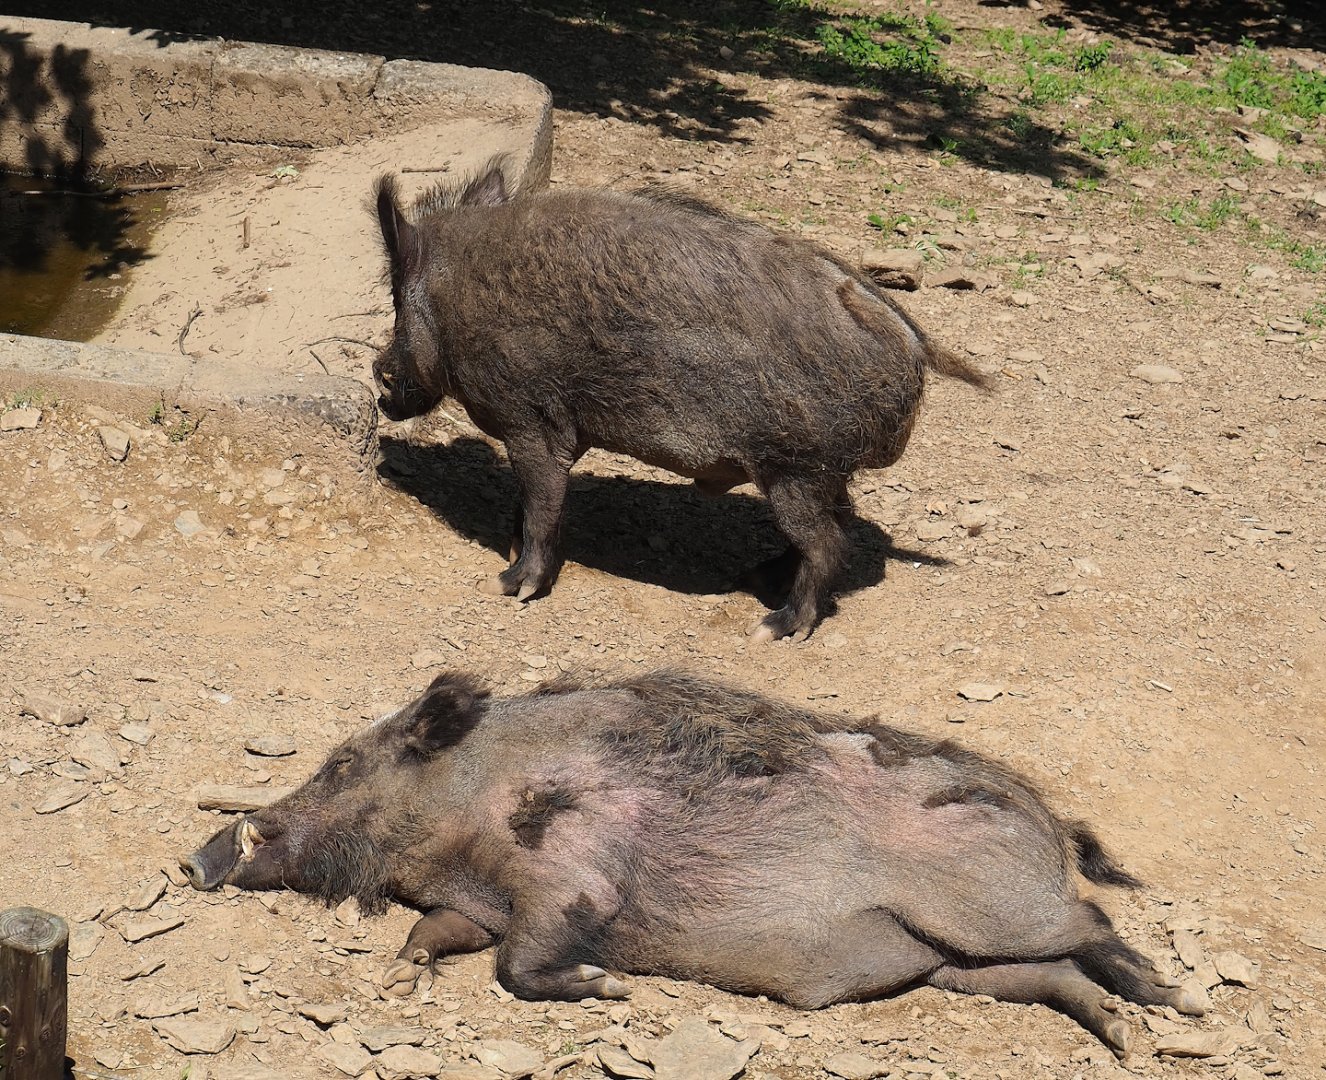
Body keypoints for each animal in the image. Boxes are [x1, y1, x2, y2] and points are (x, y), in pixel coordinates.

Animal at [183, 670, 1202, 1056]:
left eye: (341, 766)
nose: (199, 858)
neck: (470, 811)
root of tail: (1048, 815)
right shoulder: (474, 904)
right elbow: (442, 935)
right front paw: (401, 978)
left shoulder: (574, 879)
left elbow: (523, 965)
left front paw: (610, 990)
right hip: (956, 966)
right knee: (1055, 976)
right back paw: (1122, 1037)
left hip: (994, 907)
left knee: (1094, 922)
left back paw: (1174, 1001)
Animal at [370, 161, 992, 641]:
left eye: (398, 298)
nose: (379, 374)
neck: (456, 301)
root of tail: (912, 341)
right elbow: (527, 504)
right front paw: (508, 552)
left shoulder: (531, 418)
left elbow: (542, 499)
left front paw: (510, 586)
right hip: (821, 472)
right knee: (833, 526)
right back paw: (756, 578)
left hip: (795, 467)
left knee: (827, 542)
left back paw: (772, 626)